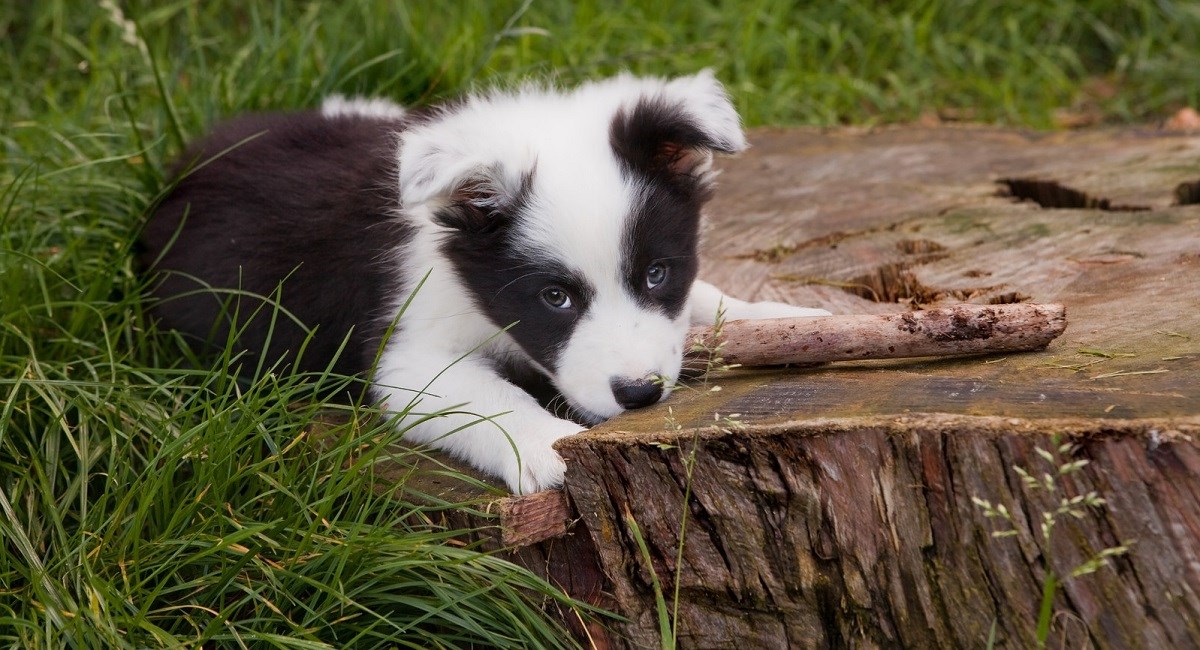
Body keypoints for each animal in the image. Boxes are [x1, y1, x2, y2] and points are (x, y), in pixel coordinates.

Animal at [140, 71, 830, 494]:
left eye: (657, 273)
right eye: (555, 296)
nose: (639, 394)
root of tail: (185, 167)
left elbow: (704, 297)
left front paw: (779, 320)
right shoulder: (409, 356)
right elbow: (491, 399)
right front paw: (550, 447)